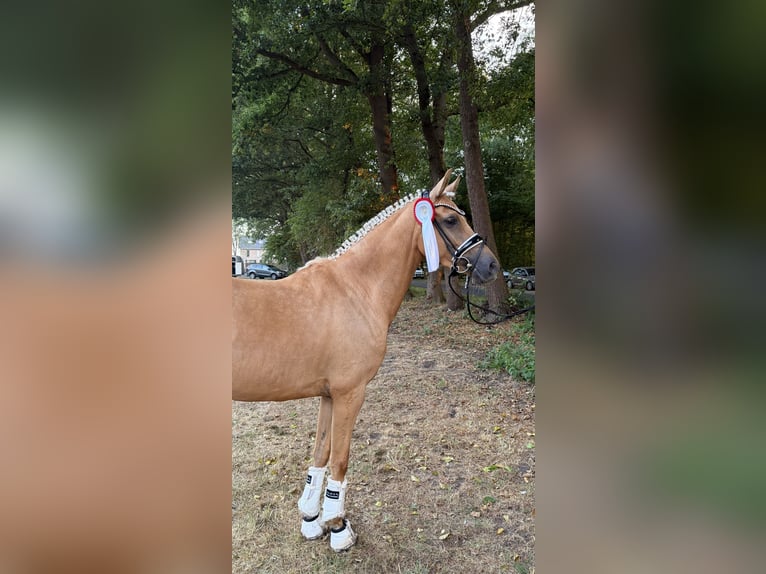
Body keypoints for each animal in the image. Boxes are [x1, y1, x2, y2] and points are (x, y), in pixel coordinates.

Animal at [232, 169, 500, 551]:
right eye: (450, 220)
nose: (491, 266)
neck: (356, 289)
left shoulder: (329, 395)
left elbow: (321, 453)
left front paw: (311, 520)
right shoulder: (350, 393)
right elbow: (340, 459)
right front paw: (338, 528)